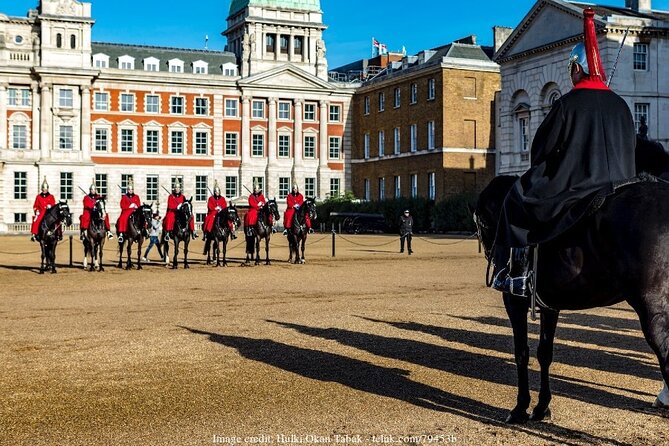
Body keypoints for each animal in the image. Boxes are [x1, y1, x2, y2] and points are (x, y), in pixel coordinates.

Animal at [474, 174, 669, 422]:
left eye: (484, 224)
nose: (492, 256)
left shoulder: (514, 302)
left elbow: (521, 352)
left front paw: (520, 407)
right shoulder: (549, 306)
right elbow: (544, 353)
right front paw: (541, 407)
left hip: (652, 310)